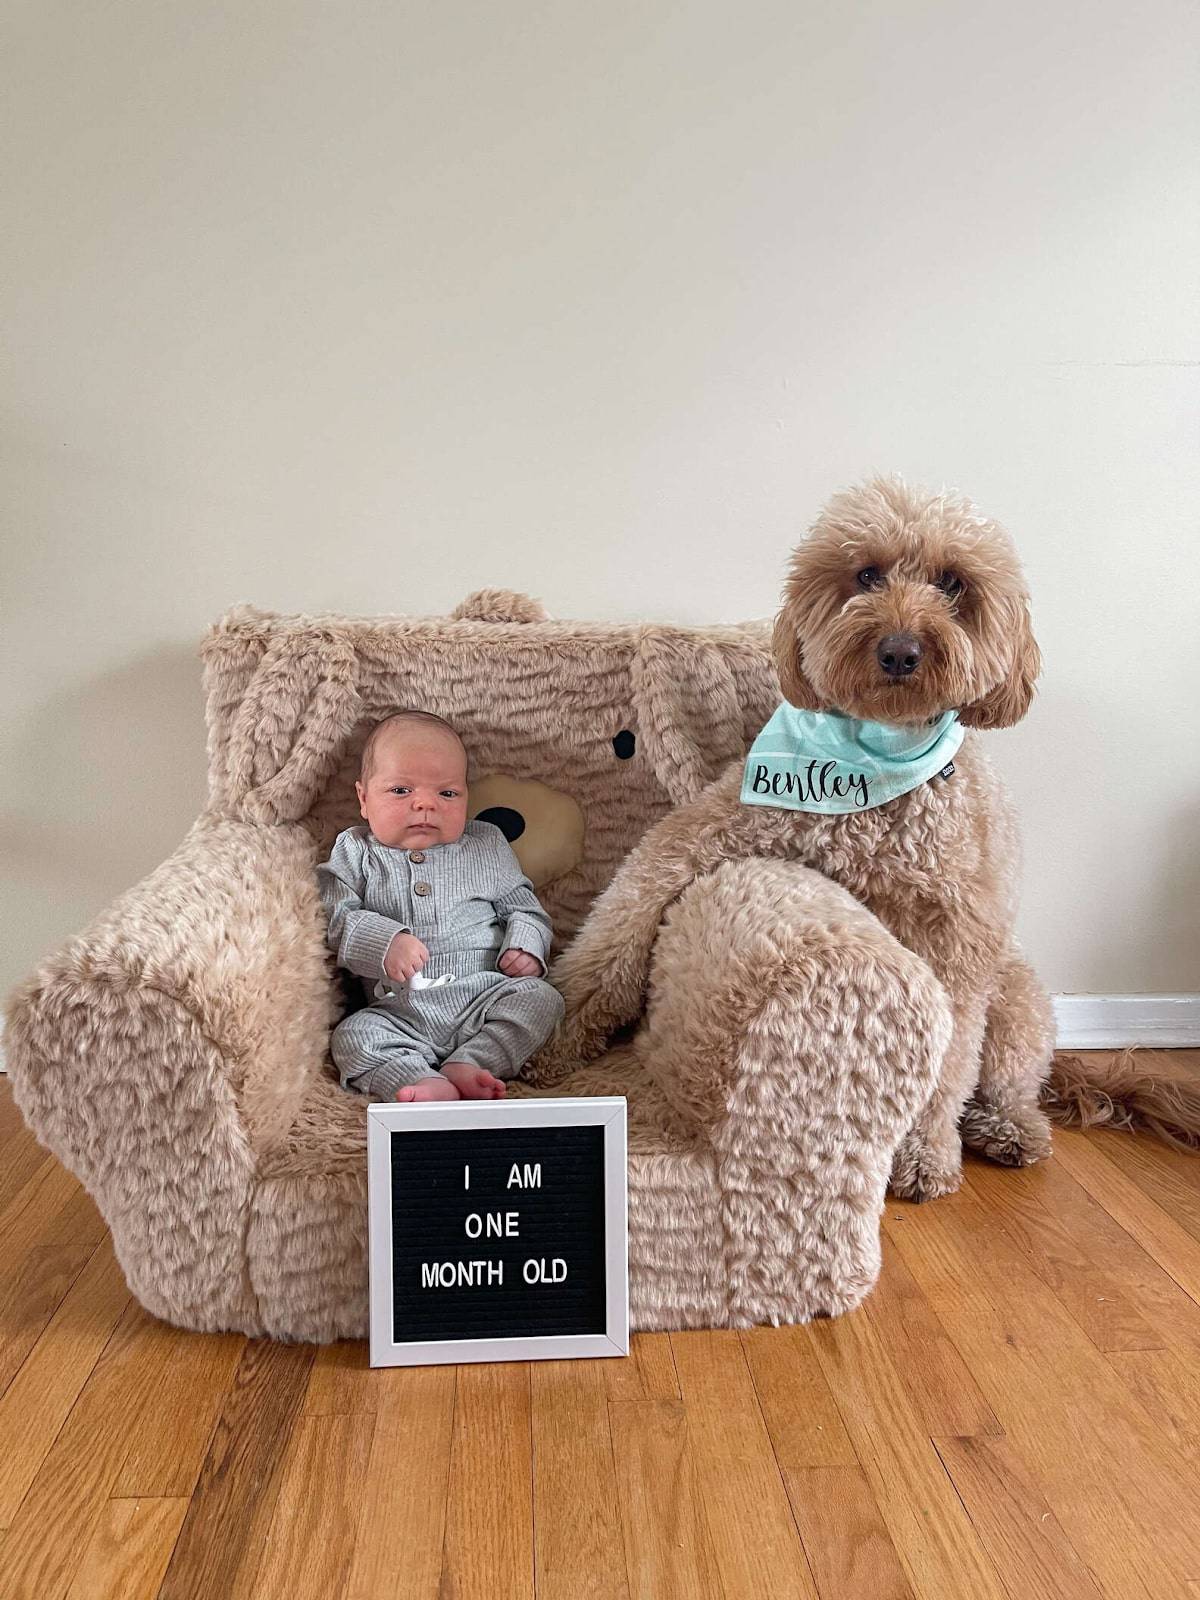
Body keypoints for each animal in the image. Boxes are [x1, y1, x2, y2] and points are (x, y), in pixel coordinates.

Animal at [534, 473, 1062, 1203]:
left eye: (952, 584)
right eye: (866, 574)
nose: (901, 650)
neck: (873, 760)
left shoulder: (958, 940)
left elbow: (950, 1058)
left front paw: (925, 1156)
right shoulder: (699, 837)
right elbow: (613, 937)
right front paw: (555, 1040)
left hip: (1014, 998)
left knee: (1005, 1079)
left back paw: (1011, 1129)